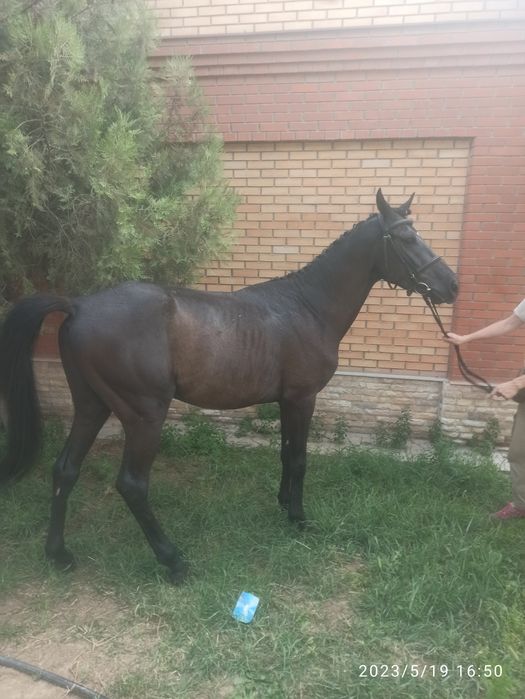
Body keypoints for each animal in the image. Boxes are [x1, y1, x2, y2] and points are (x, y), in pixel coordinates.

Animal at [0, 189, 458, 583]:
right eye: (405, 238)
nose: (451, 285)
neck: (307, 307)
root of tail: (78, 305)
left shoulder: (285, 402)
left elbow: (284, 454)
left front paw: (283, 503)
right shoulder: (302, 399)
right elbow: (299, 459)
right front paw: (298, 518)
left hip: (92, 405)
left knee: (65, 469)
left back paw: (58, 554)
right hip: (144, 415)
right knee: (132, 485)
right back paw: (173, 561)